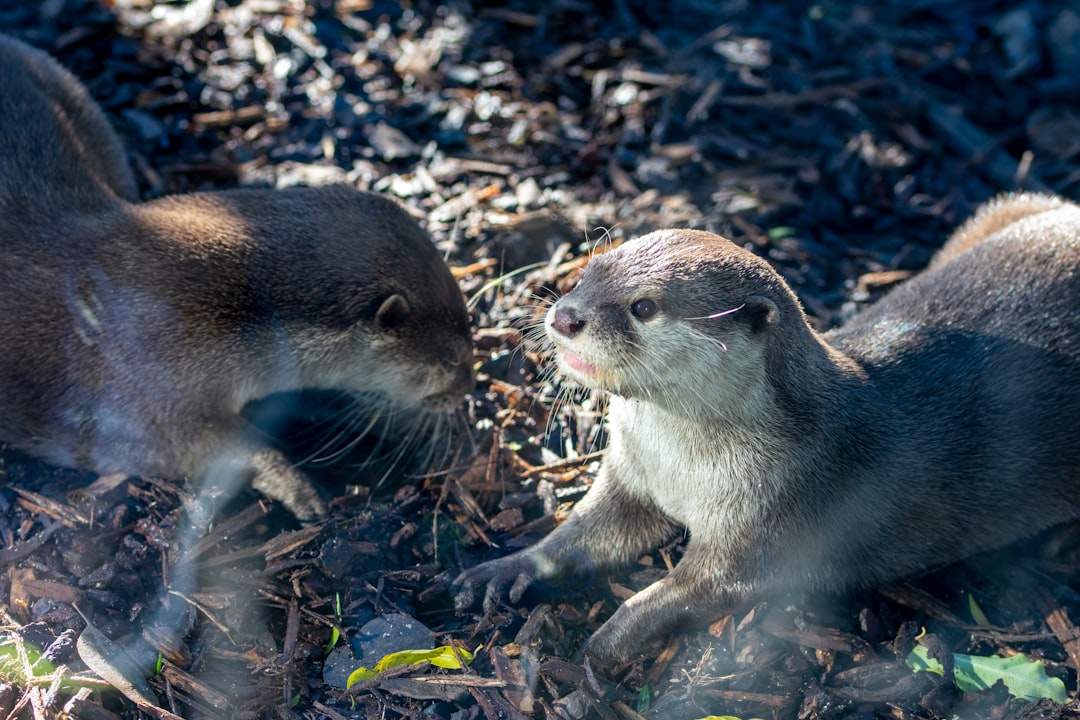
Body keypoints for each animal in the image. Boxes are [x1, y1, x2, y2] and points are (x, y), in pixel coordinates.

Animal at [454, 193, 1080, 664]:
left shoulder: (774, 513)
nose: (565, 316)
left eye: (644, 308)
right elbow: (584, 529)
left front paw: (607, 639)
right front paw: (505, 569)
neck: (684, 468)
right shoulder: (632, 471)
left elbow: (696, 588)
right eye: (588, 273)